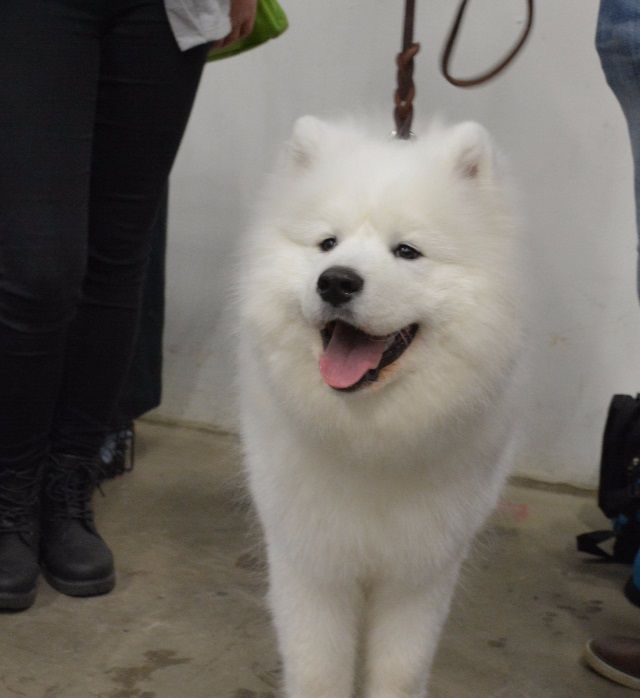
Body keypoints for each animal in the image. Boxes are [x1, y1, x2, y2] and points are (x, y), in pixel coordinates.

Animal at [238, 117, 524, 692]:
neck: (371, 440)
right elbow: (318, 671)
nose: (336, 280)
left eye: (407, 251)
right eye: (327, 243)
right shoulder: (310, 562)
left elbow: (401, 670)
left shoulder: (423, 569)